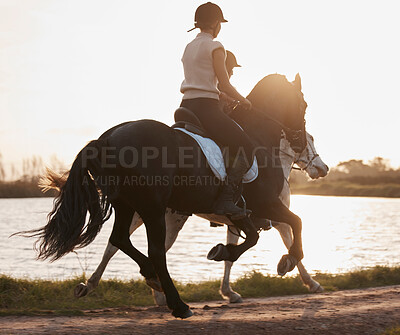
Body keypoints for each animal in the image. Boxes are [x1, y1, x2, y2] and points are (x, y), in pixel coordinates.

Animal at [73, 132, 330, 304]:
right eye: (310, 139)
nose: (323, 168)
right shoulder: (277, 220)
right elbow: (292, 240)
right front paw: (307, 279)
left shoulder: (238, 223)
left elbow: (231, 257)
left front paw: (229, 291)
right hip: (165, 221)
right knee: (144, 250)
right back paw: (158, 293)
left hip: (143, 216)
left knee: (116, 245)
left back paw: (92, 285)